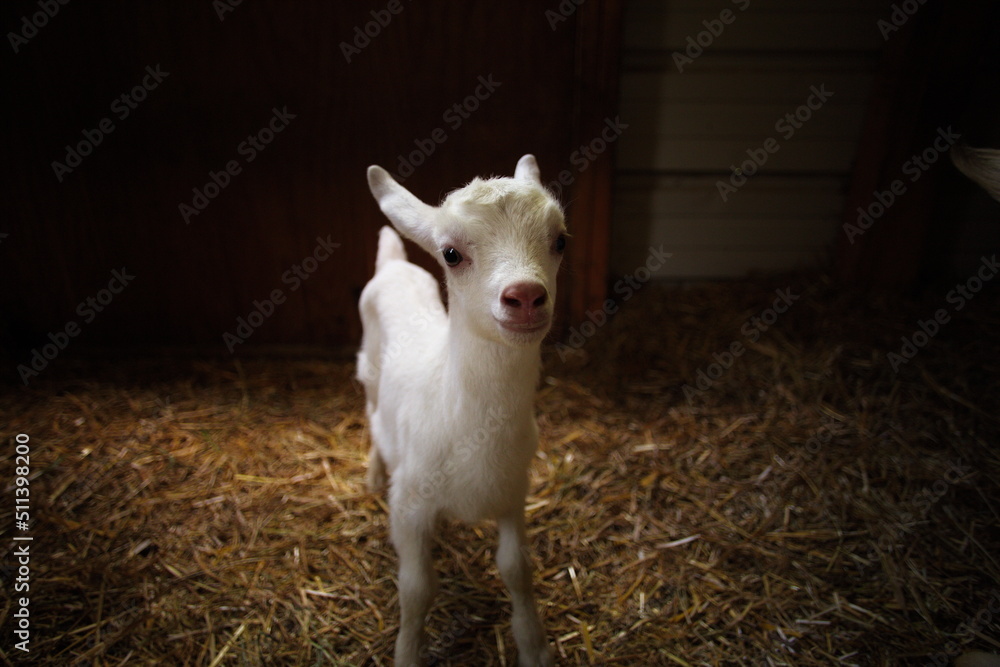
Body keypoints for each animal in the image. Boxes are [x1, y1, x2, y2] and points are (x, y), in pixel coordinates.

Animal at [357, 154, 565, 666]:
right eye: (451, 253)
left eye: (560, 241)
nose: (525, 296)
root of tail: (394, 264)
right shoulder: (409, 504)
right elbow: (416, 589)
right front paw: (408, 653)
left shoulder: (513, 492)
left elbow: (517, 570)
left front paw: (534, 646)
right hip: (367, 367)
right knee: (371, 413)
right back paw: (372, 473)